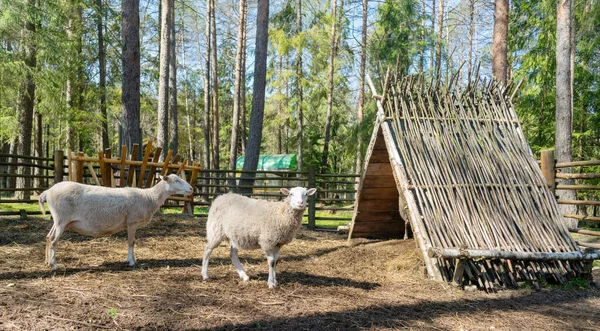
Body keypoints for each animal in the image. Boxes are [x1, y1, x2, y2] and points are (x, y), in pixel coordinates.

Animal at [38, 174, 192, 270]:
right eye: (176, 180)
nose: (191, 189)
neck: (149, 197)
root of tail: (47, 192)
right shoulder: (132, 221)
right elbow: (131, 242)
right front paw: (131, 262)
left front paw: (134, 260)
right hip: (61, 219)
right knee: (54, 240)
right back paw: (54, 265)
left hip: (58, 220)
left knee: (48, 237)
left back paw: (47, 262)